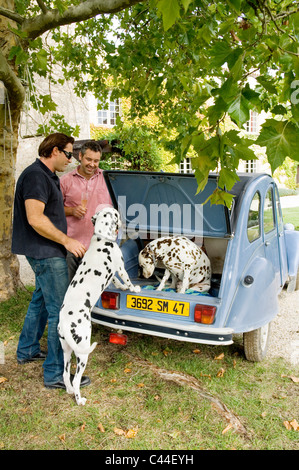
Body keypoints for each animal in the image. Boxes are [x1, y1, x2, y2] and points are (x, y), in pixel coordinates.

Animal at [58, 207, 141, 406]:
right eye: (116, 214)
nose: (122, 216)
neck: (102, 239)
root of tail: (64, 322)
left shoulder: (113, 273)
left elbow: (118, 283)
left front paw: (123, 288)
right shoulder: (120, 268)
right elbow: (126, 279)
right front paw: (133, 288)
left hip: (67, 350)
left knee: (65, 374)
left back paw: (69, 391)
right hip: (82, 351)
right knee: (76, 378)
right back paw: (79, 399)